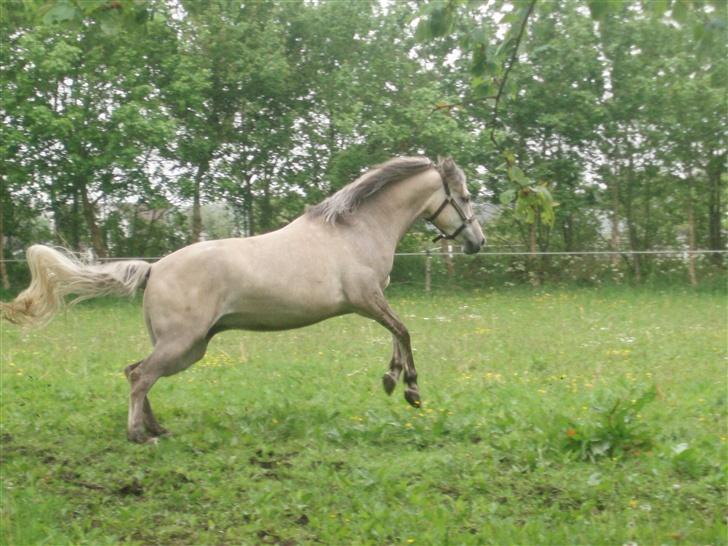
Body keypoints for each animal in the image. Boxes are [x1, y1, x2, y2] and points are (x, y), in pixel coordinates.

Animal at [4, 156, 490, 442]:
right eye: (465, 197)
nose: (478, 242)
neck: (355, 229)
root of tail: (154, 269)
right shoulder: (366, 299)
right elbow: (404, 332)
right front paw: (410, 389)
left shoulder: (373, 302)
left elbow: (396, 335)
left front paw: (391, 380)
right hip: (182, 343)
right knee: (140, 376)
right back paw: (139, 435)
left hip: (189, 348)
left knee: (136, 372)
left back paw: (158, 428)